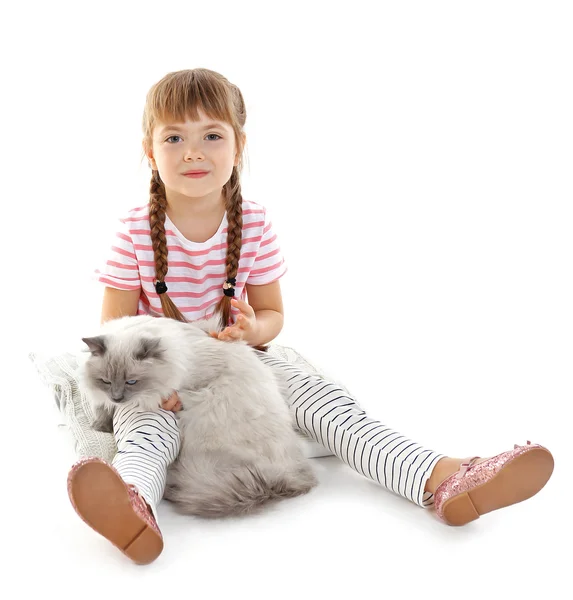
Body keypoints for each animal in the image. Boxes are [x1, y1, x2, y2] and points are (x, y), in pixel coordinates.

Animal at [77, 314, 318, 516]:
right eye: (105, 381)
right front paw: (100, 425)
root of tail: (278, 478)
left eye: (132, 381)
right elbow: (102, 409)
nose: (118, 398)